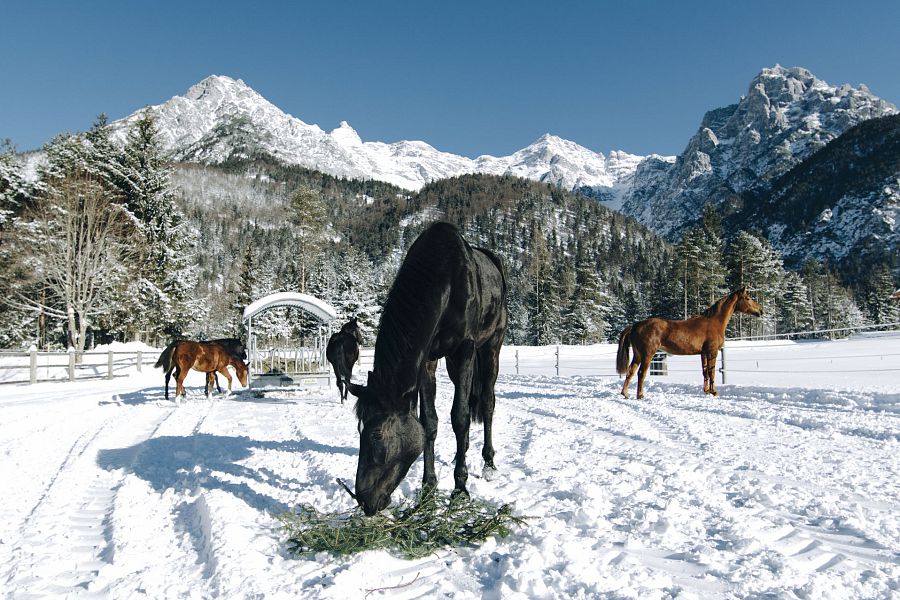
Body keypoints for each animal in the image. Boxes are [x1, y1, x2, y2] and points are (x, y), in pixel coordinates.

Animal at [342, 224, 506, 516]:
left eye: (376, 435)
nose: (365, 501)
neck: (445, 279)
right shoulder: (427, 359)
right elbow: (429, 421)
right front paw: (428, 488)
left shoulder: (465, 348)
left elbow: (460, 417)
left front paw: (460, 489)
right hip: (453, 364)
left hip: (491, 348)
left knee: (487, 402)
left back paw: (488, 464)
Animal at [620, 288, 760, 400]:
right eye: (748, 298)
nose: (760, 310)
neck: (714, 322)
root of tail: (635, 326)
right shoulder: (712, 351)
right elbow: (712, 372)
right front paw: (714, 392)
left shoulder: (703, 353)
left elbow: (705, 372)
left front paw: (706, 391)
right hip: (647, 355)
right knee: (641, 373)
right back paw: (640, 395)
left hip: (638, 355)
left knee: (630, 371)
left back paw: (625, 393)